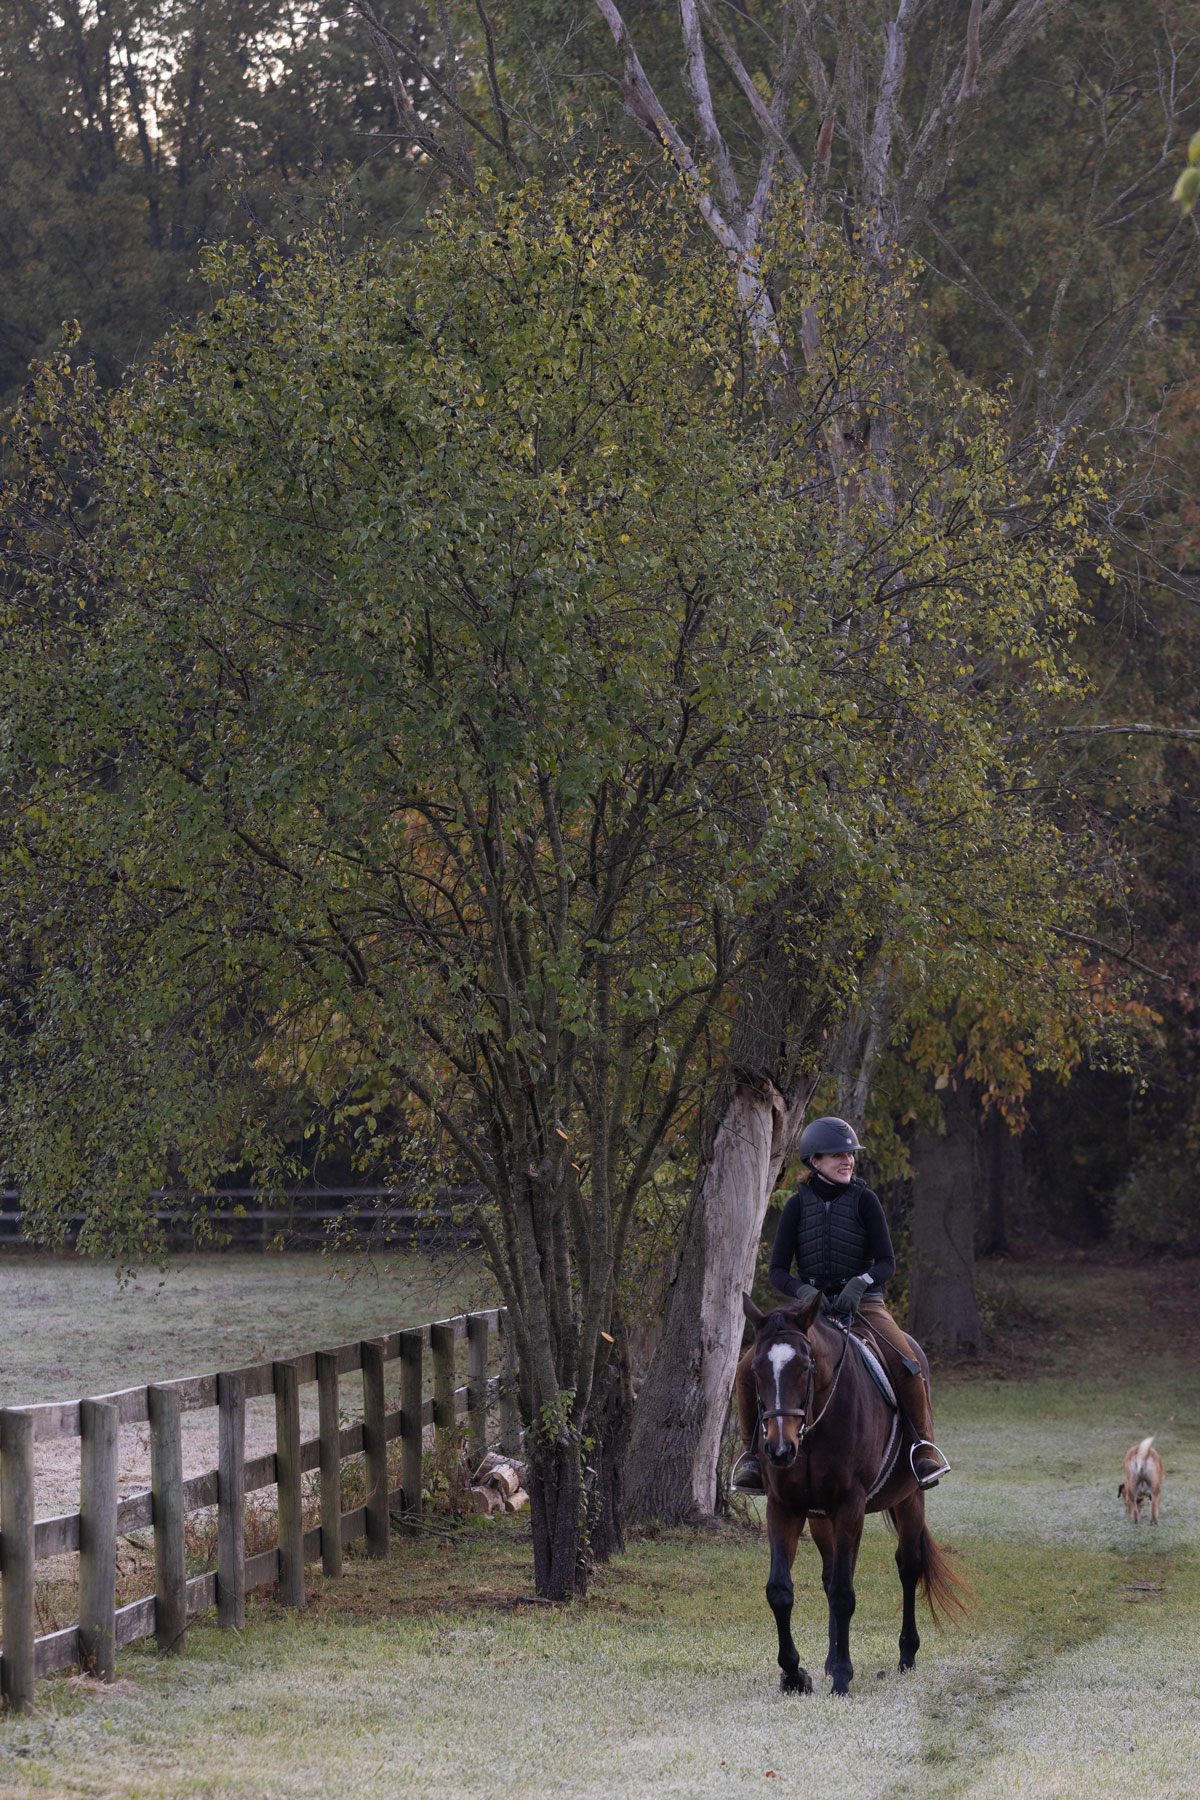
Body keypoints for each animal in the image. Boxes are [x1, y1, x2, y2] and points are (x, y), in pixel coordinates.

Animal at [742, 1291, 965, 1696]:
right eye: (755, 1372)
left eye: (805, 1366)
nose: (779, 1449)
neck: (812, 1430)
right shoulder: (785, 1507)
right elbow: (781, 1590)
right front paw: (795, 1675)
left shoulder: (850, 1506)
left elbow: (844, 1593)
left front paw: (843, 1678)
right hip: (821, 1519)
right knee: (831, 1575)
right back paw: (831, 1661)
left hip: (910, 1500)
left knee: (908, 1567)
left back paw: (906, 1654)